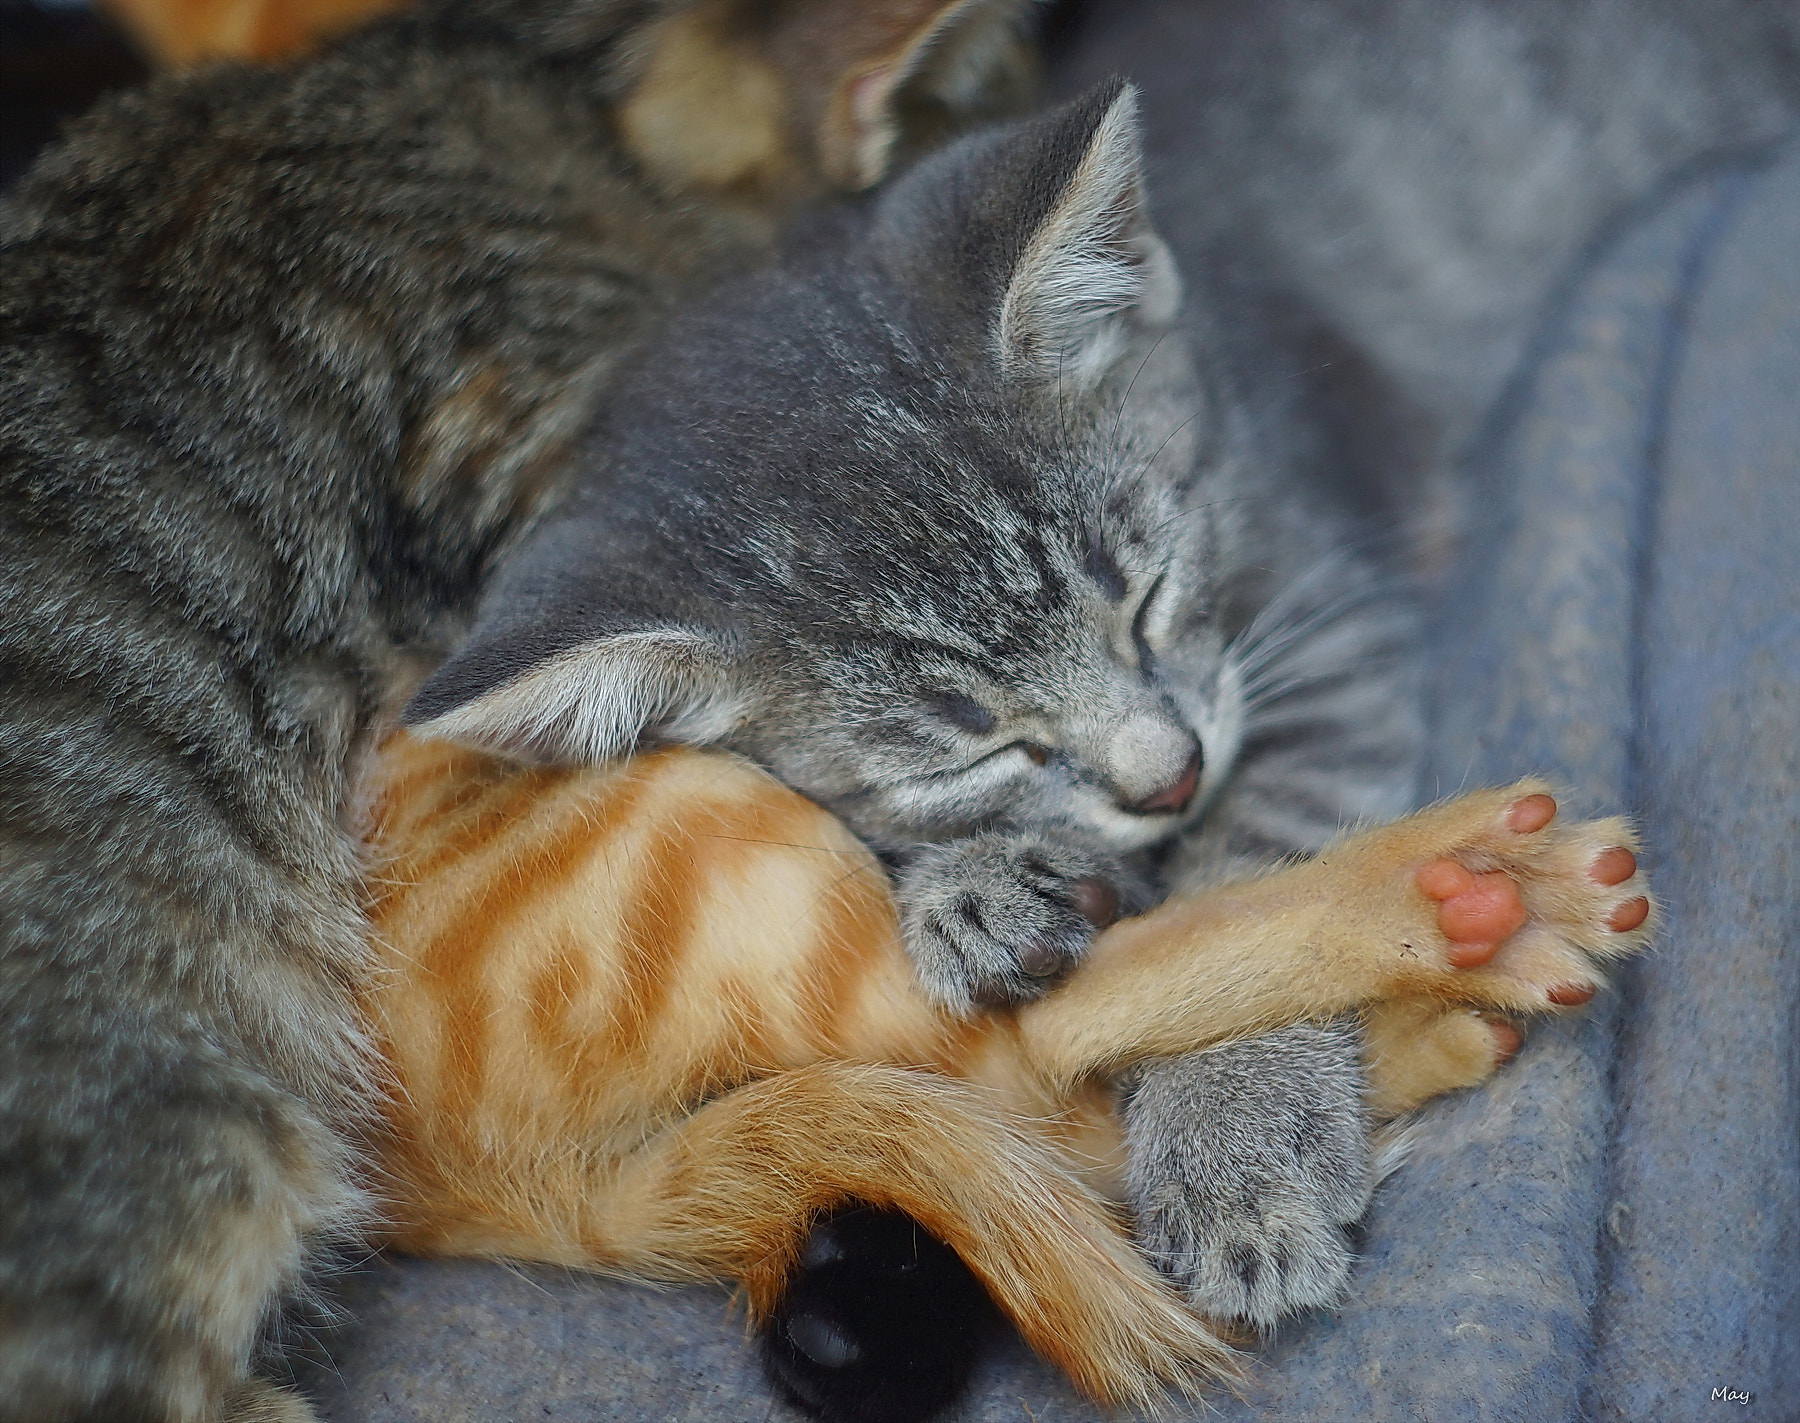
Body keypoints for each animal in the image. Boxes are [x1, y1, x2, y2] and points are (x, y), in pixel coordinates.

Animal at [408, 75, 1418, 1345]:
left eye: (1146, 600)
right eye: (971, 757)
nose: (1172, 776)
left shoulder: (1332, 620)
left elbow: (1255, 883)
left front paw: (1236, 1135)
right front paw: (974, 888)